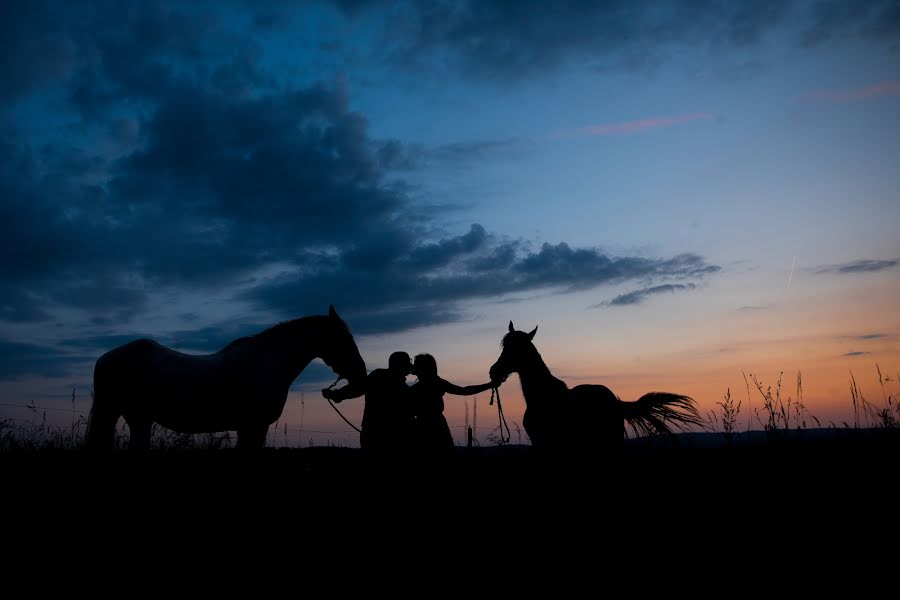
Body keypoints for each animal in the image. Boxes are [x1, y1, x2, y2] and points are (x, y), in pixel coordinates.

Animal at [84, 304, 366, 450]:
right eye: (344, 339)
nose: (361, 375)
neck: (268, 361)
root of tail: (105, 358)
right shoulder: (254, 425)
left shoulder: (250, 427)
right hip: (125, 414)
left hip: (135, 418)